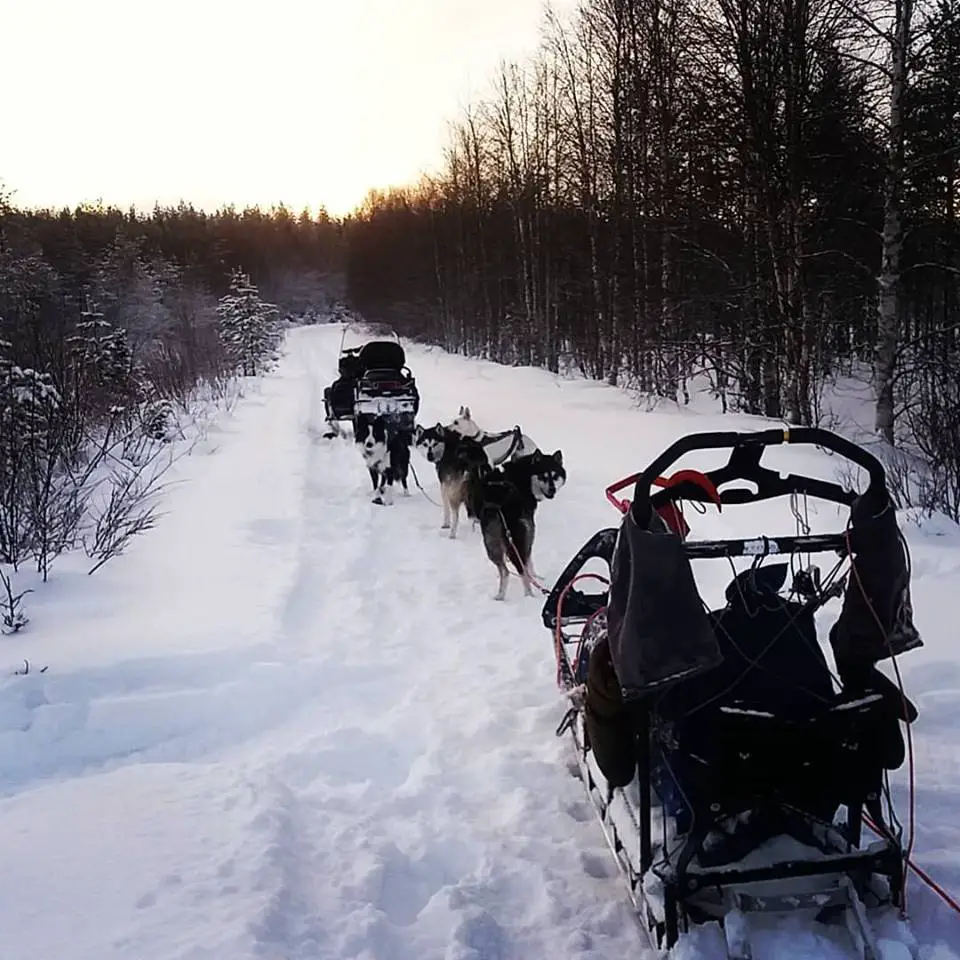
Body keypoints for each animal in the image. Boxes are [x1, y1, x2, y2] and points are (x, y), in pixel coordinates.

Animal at [464, 450, 564, 600]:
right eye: (543, 476)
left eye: (555, 475)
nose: (552, 489)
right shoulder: (529, 529)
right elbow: (528, 558)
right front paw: (535, 575)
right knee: (518, 567)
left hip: (493, 540)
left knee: (507, 570)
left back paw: (505, 594)